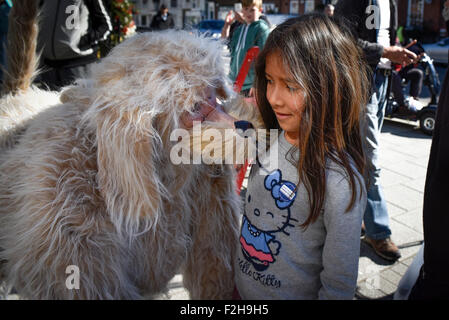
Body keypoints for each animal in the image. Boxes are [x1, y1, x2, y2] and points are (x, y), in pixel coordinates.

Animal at [0, 5, 262, 298]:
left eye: (213, 98)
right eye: (195, 108)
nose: (248, 125)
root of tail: (18, 97)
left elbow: (214, 267)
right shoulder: (65, 216)